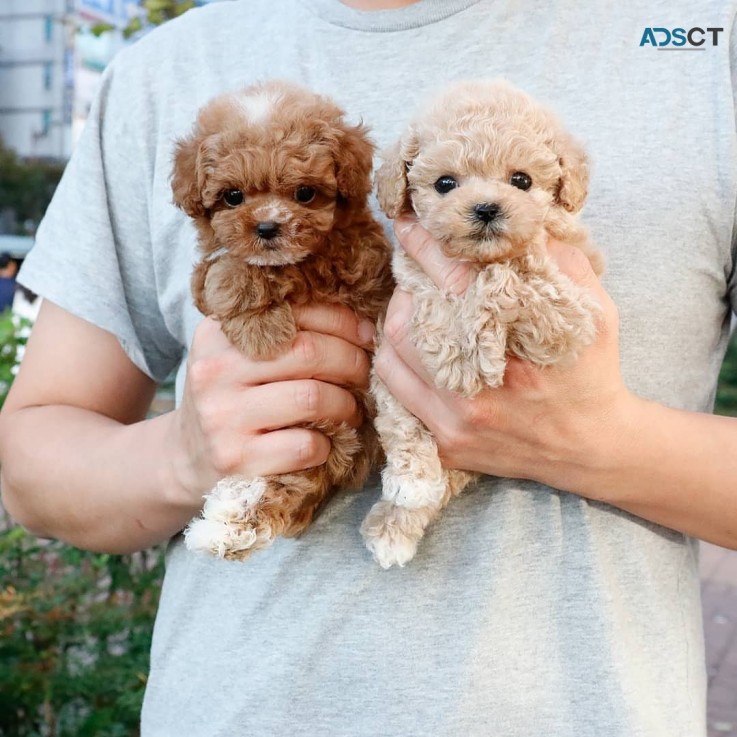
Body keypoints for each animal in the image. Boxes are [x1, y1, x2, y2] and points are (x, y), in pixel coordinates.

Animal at [360, 80, 604, 568]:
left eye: (522, 180)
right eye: (445, 183)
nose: (487, 208)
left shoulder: (569, 317)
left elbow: (503, 278)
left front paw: (473, 352)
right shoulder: (410, 288)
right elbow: (438, 307)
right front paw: (459, 353)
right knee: (400, 426)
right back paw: (403, 498)